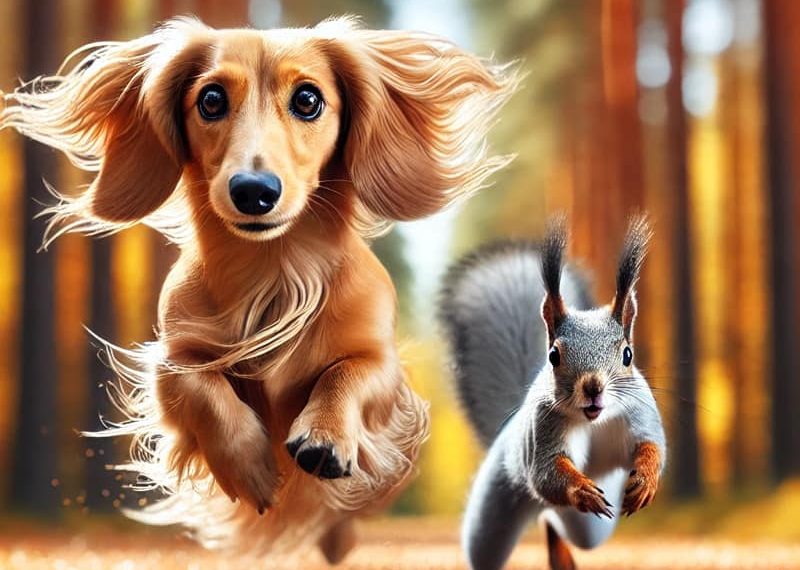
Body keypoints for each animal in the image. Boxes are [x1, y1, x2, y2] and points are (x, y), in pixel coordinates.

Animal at [438, 214, 666, 570]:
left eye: (628, 354)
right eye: (554, 355)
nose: (593, 387)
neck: (594, 421)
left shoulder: (641, 413)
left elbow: (653, 446)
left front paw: (645, 480)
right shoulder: (543, 427)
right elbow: (547, 472)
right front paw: (581, 490)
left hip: (589, 527)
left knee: (564, 527)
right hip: (492, 511)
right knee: (487, 547)